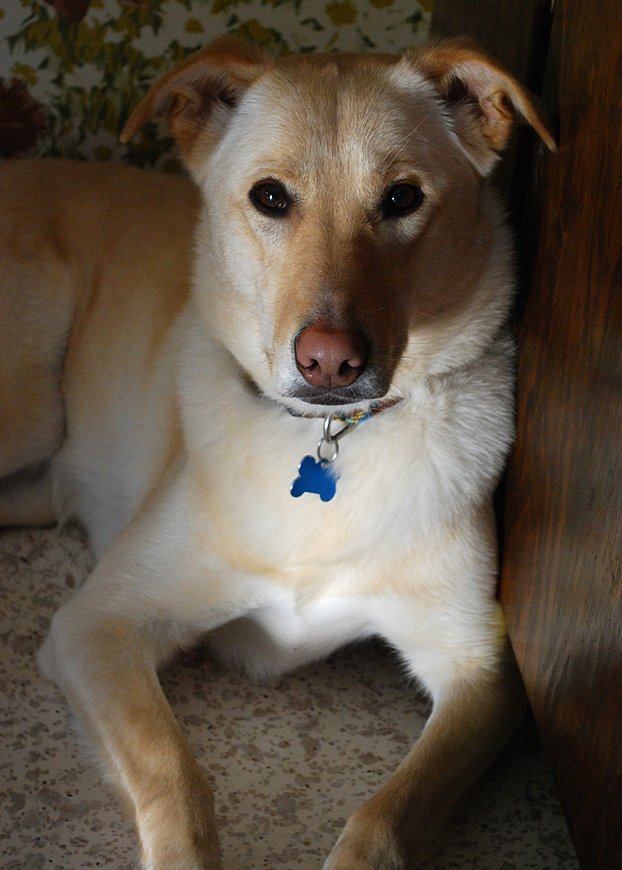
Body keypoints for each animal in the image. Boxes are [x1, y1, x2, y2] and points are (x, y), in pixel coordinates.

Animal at [0, 35, 556, 870]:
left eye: (402, 199)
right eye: (269, 198)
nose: (330, 361)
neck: (327, 436)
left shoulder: (482, 670)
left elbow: (386, 817)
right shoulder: (98, 626)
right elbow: (175, 774)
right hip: (32, 412)